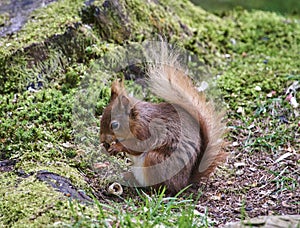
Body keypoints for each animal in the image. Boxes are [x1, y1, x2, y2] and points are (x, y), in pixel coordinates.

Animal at [99, 45, 226, 194]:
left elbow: (139, 146)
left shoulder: (145, 130)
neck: (136, 119)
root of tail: (183, 183)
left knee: (158, 186)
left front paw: (117, 147)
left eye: (114, 125)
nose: (101, 139)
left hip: (155, 160)